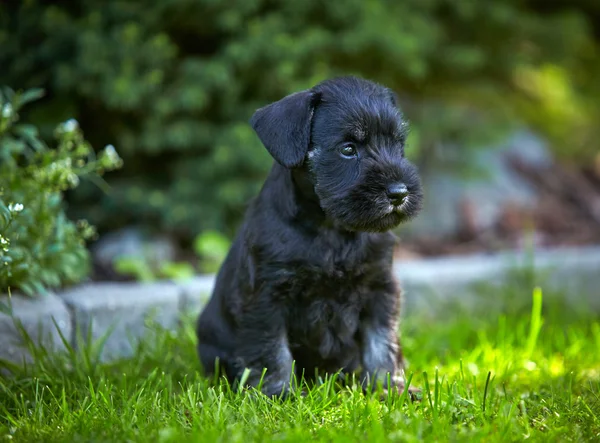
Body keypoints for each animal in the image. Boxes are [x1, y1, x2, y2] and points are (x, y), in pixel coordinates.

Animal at [196, 75, 422, 398]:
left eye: (397, 144)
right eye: (348, 148)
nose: (399, 193)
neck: (332, 229)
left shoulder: (380, 287)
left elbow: (381, 341)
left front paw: (390, 387)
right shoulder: (267, 295)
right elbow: (271, 349)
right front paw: (279, 394)